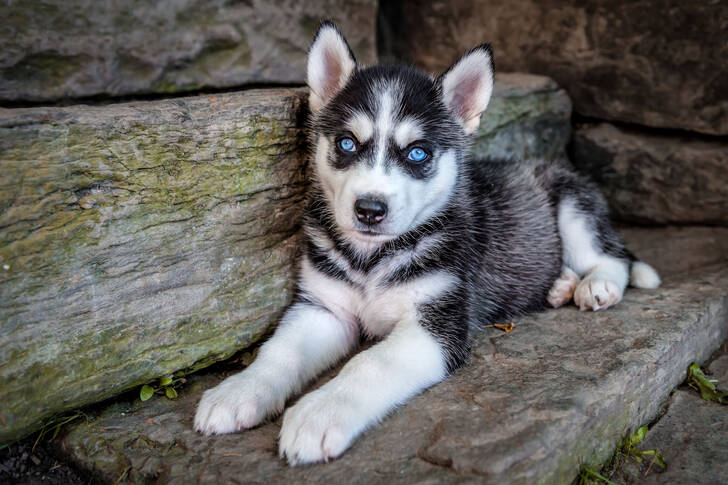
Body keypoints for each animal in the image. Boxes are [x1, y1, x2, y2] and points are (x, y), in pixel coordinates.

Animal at [193, 21, 660, 466]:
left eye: (417, 153)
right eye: (346, 143)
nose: (369, 209)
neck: (372, 259)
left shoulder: (437, 323)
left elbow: (370, 363)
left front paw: (319, 413)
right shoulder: (323, 309)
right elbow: (280, 351)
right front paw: (238, 391)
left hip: (571, 203)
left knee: (611, 255)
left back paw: (595, 285)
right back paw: (560, 284)